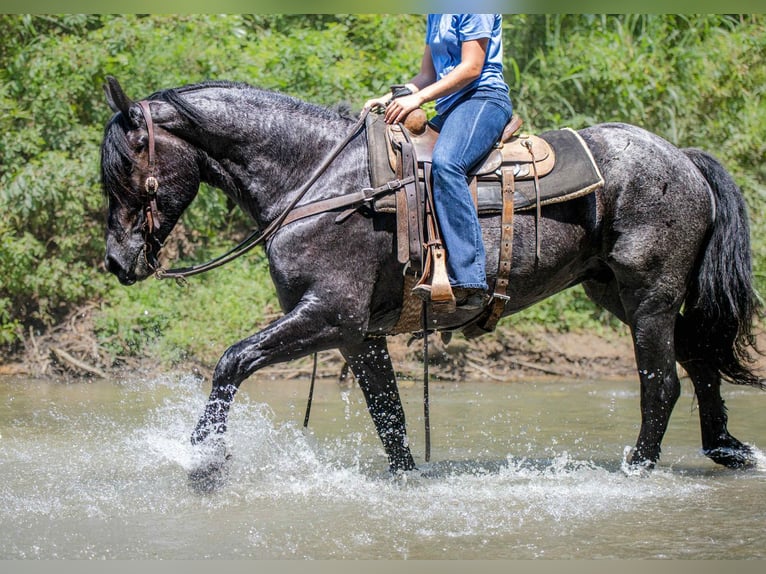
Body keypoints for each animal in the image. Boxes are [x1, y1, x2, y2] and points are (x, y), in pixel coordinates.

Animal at [100, 77, 763, 481]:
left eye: (125, 169)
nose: (116, 262)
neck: (319, 182)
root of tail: (682, 158)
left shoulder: (328, 314)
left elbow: (233, 360)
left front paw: (203, 460)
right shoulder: (357, 333)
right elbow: (388, 413)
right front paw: (407, 477)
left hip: (648, 296)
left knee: (662, 384)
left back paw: (639, 469)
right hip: (616, 292)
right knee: (699, 359)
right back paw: (727, 447)